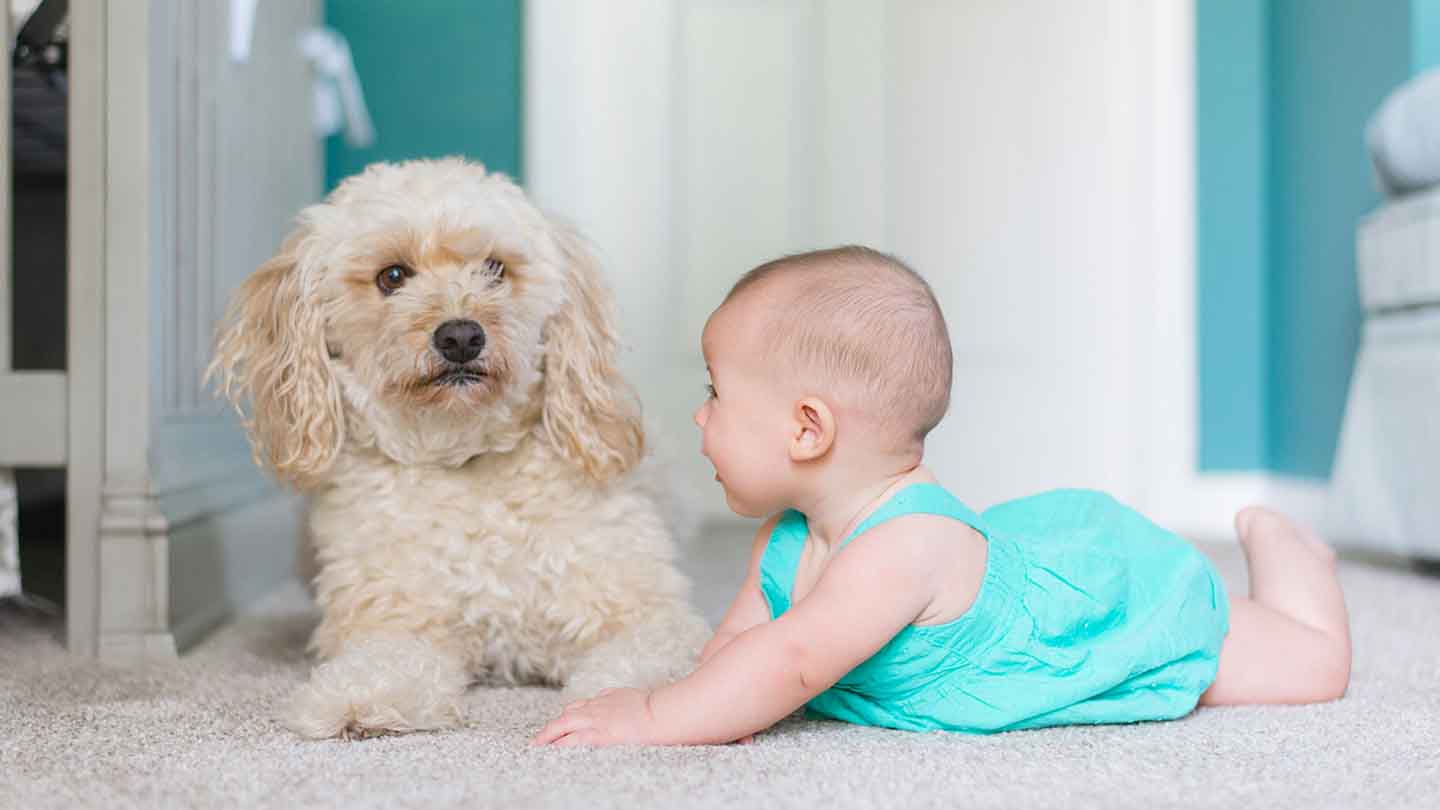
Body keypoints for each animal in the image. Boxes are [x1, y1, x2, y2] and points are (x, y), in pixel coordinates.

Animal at [210, 157, 708, 737]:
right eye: (392, 276)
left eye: (495, 268)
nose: (461, 337)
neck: (464, 458)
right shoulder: (396, 619)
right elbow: (385, 662)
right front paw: (360, 698)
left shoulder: (645, 612)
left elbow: (644, 657)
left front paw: (628, 703)